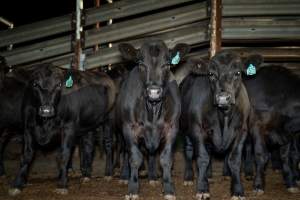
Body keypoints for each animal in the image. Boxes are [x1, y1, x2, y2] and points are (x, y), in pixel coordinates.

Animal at [8, 64, 116, 195]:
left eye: (59, 85)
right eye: (35, 84)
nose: (46, 110)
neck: (45, 124)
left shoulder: (68, 127)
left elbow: (64, 154)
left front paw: (62, 184)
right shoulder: (28, 127)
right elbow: (27, 155)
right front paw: (17, 184)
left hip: (109, 118)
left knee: (108, 144)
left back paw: (108, 174)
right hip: (88, 124)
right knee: (88, 146)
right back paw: (86, 175)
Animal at [115, 39, 189, 199]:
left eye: (167, 64)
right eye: (141, 63)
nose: (154, 92)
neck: (152, 112)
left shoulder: (172, 128)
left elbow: (166, 159)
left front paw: (168, 189)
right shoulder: (129, 128)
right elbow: (134, 158)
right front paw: (133, 189)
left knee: (152, 154)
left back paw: (153, 177)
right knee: (125, 152)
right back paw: (124, 176)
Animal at [180, 50, 258, 199]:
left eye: (238, 73)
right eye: (211, 74)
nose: (223, 98)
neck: (223, 116)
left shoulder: (241, 131)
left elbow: (234, 159)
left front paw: (237, 190)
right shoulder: (197, 129)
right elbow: (202, 158)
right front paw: (202, 189)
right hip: (185, 128)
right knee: (189, 150)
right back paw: (188, 177)